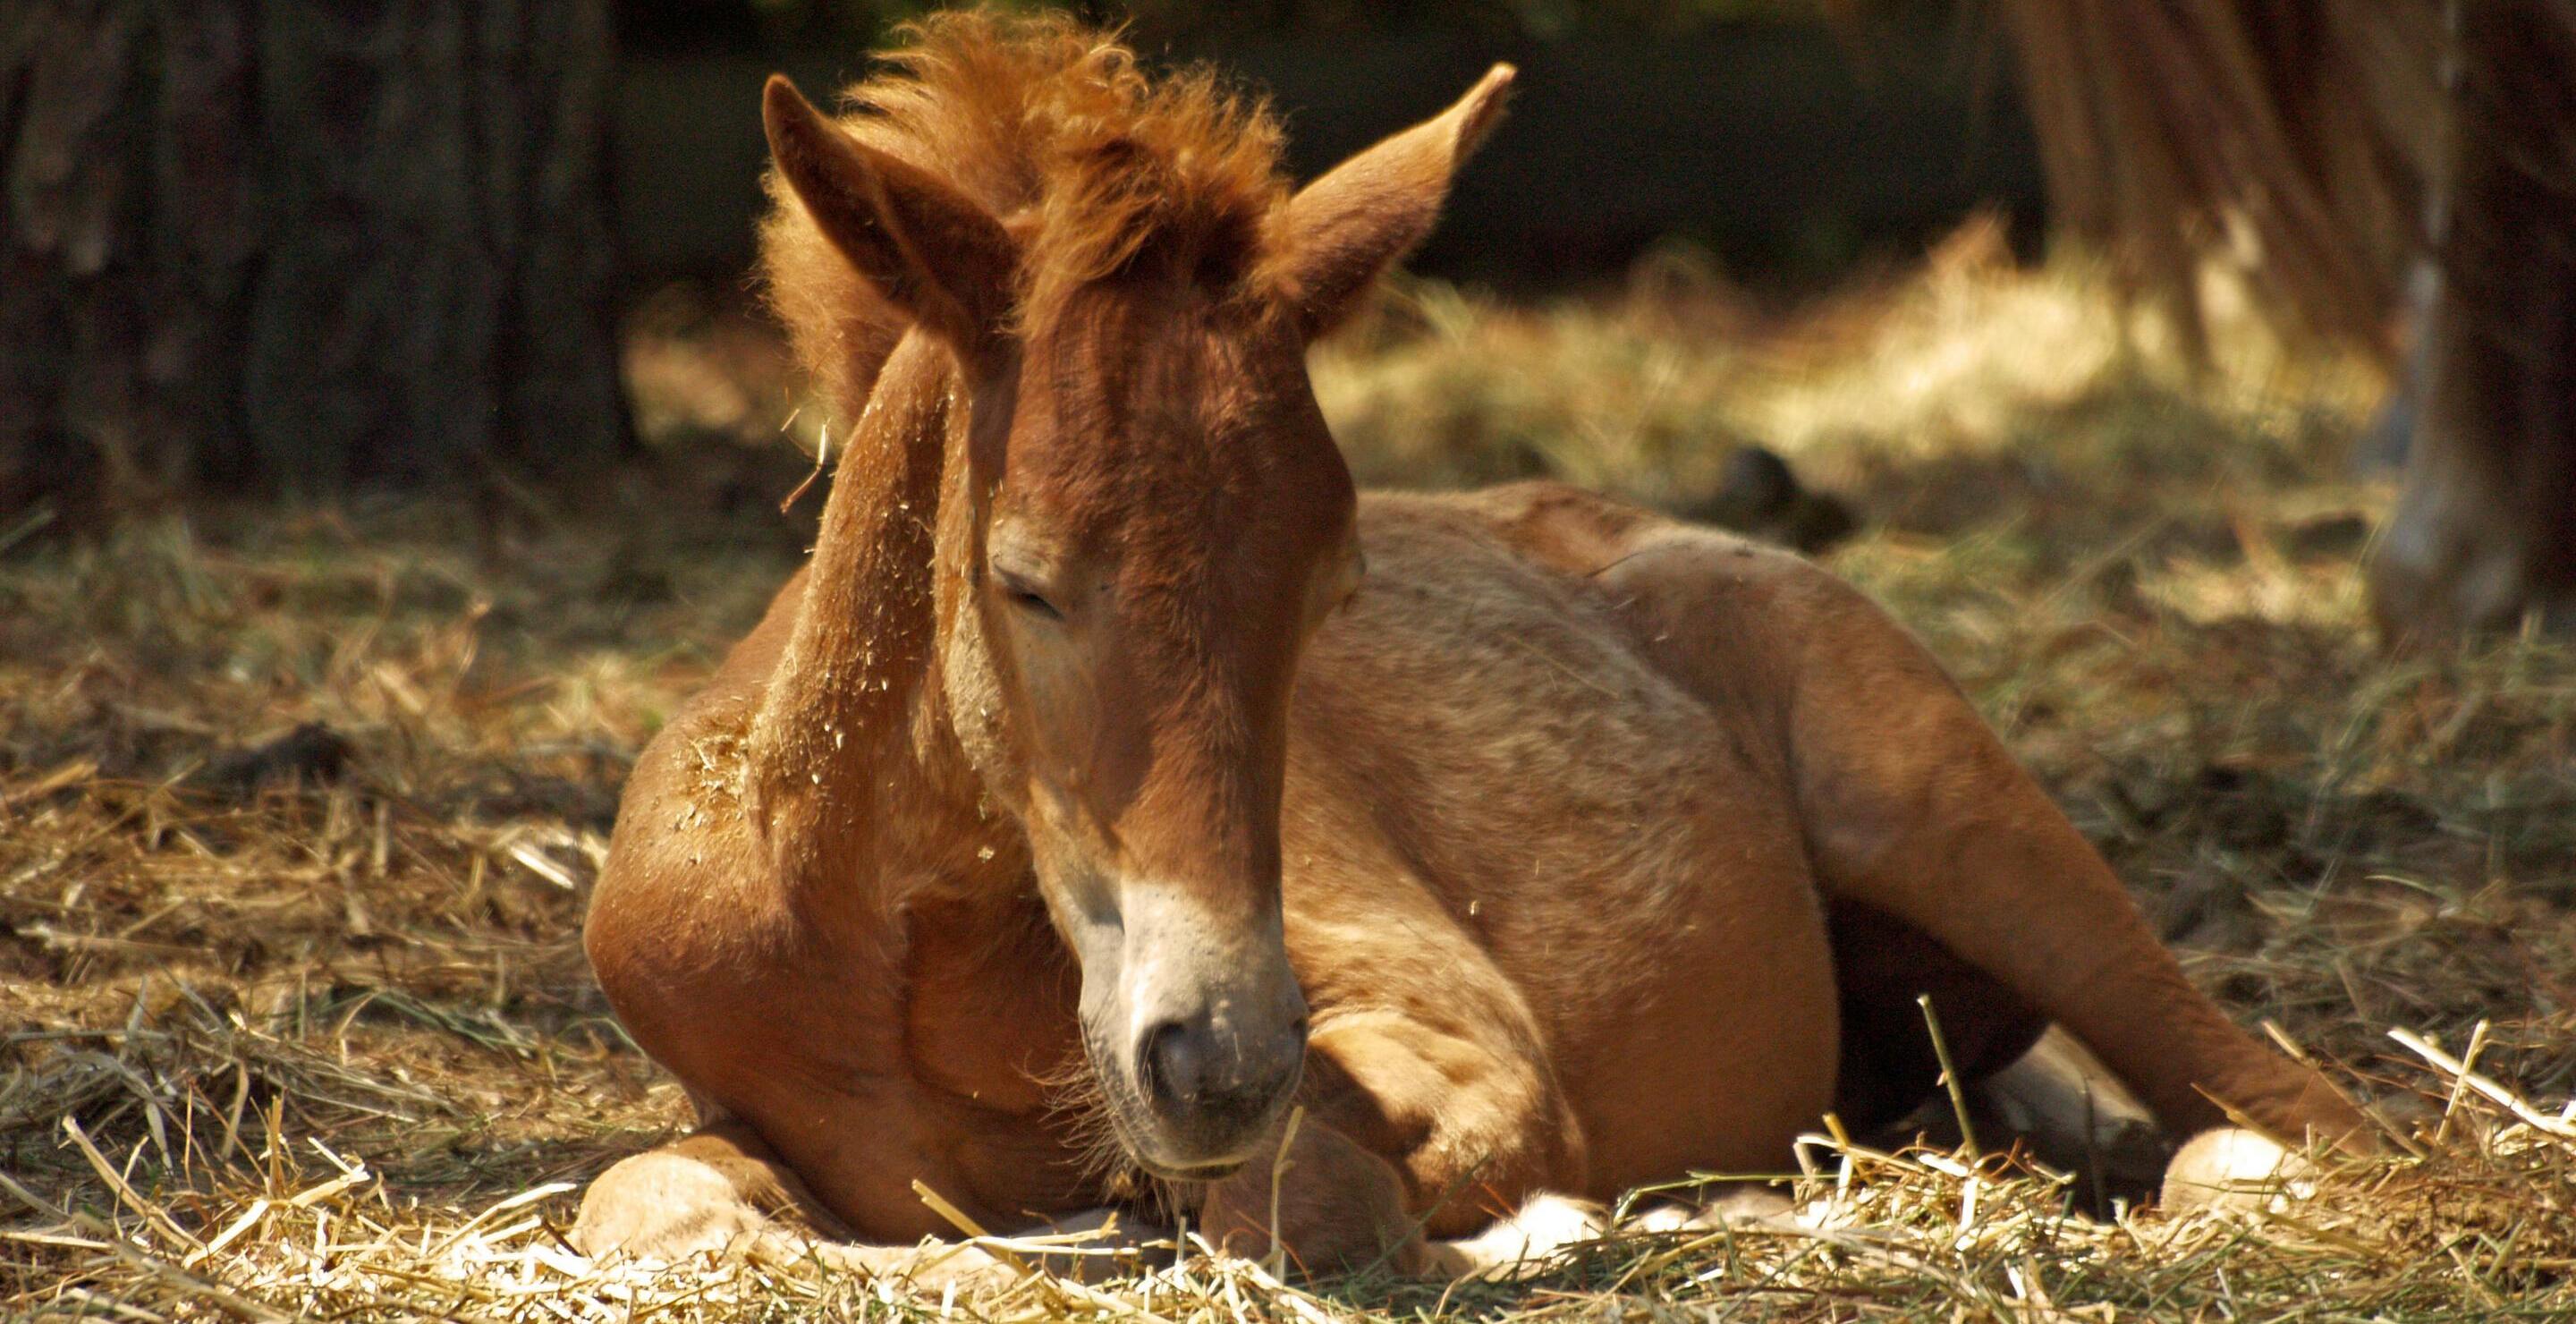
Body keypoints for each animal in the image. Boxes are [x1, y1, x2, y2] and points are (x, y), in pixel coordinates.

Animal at [570, 12, 2371, 1282]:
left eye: (1333, 582)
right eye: (1023, 581)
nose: (1217, 1060)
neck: (891, 950)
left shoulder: (1458, 1038)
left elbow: (1307, 1198)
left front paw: (1544, 1225)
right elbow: (642, 1202)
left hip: (1959, 820)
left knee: (2296, 1109)